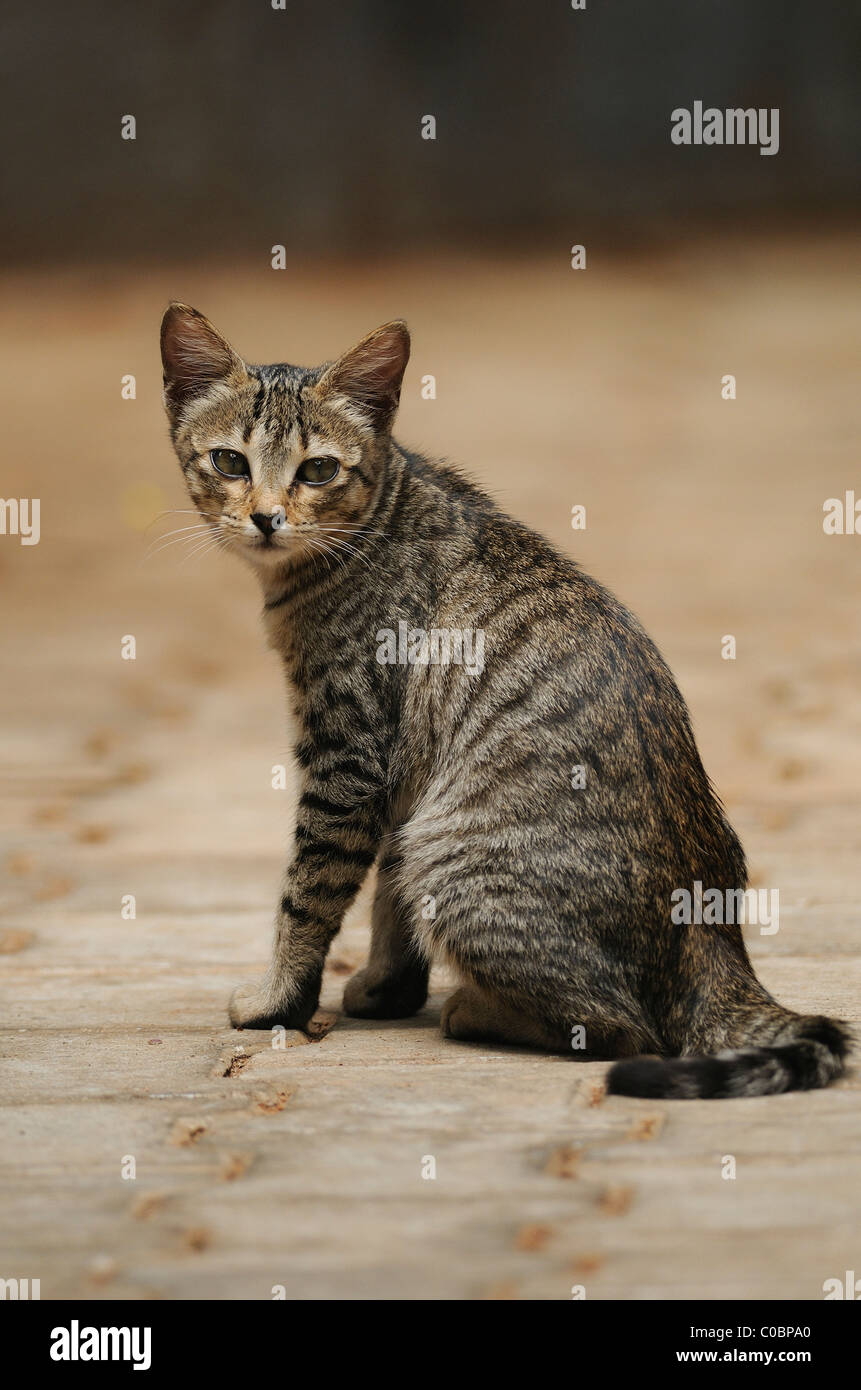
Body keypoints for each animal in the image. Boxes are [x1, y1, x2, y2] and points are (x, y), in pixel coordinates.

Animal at [158, 304, 851, 1095]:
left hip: (457, 857)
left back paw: (476, 1009)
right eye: (230, 463)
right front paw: (388, 987)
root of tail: (719, 944)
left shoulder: (347, 758)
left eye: (319, 470)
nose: (267, 517)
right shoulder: (402, 778)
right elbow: (389, 896)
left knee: (621, 1029)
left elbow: (307, 894)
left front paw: (279, 1001)